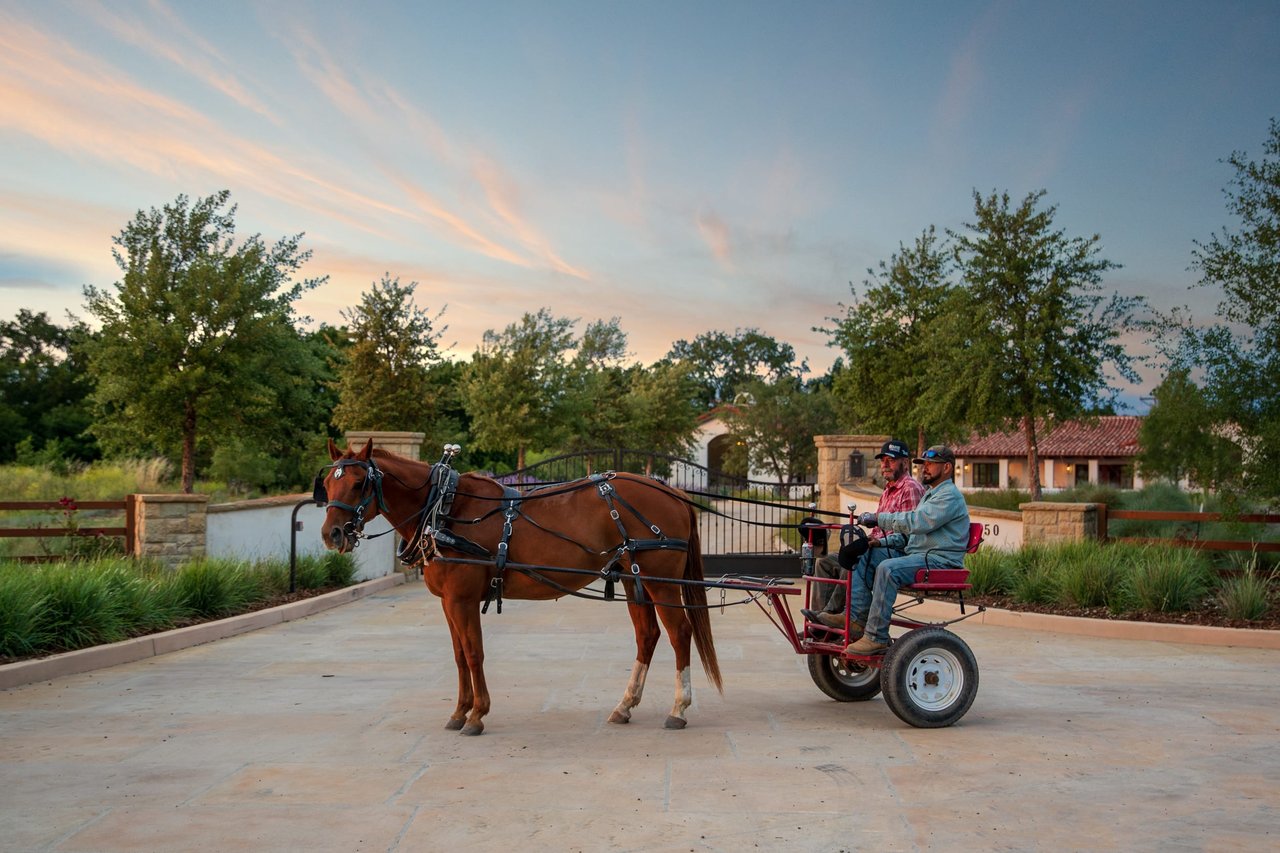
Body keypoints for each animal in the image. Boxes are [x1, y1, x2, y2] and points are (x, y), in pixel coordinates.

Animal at [316, 438, 727, 732]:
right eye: (326, 485)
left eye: (358, 483)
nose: (331, 534)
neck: (443, 509)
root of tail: (673, 493)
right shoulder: (449, 601)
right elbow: (459, 655)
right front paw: (460, 711)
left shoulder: (462, 598)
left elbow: (474, 652)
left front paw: (477, 715)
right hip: (632, 577)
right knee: (648, 636)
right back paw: (625, 705)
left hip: (659, 580)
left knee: (680, 633)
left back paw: (678, 708)